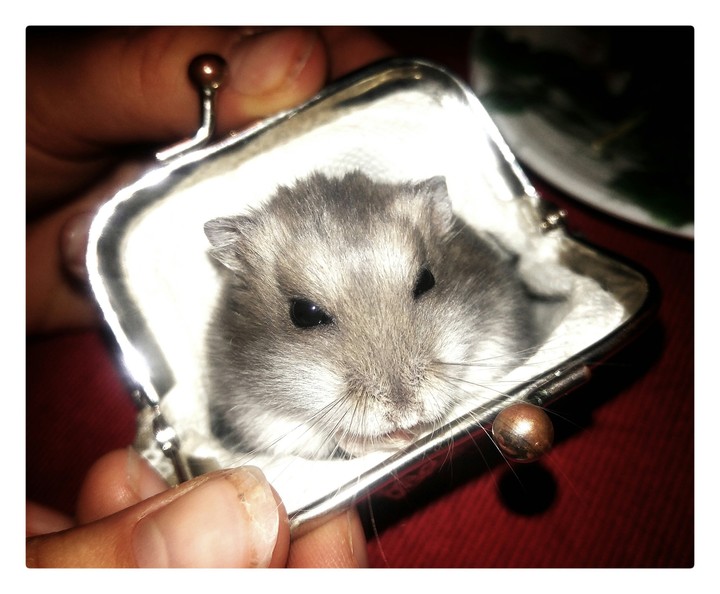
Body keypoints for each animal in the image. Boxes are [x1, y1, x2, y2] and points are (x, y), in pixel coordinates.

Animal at [203, 170, 536, 459]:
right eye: (305, 313)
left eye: (426, 280)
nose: (405, 413)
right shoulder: (260, 418)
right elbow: (337, 437)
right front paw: (400, 437)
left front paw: (415, 430)